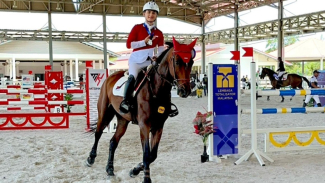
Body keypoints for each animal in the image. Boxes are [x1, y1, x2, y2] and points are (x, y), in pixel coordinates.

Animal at [85, 37, 195, 183]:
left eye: (192, 62)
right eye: (177, 61)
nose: (185, 91)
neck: (156, 89)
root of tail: (111, 77)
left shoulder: (158, 126)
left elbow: (152, 155)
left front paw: (135, 170)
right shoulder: (144, 125)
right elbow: (146, 153)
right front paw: (146, 178)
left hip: (122, 120)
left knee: (113, 141)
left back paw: (110, 168)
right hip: (104, 112)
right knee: (98, 133)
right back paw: (90, 158)